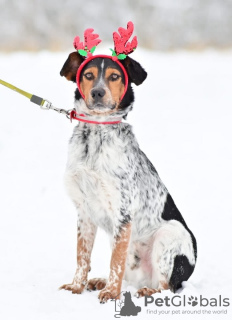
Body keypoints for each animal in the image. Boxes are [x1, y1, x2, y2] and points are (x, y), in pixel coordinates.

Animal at [59, 23, 197, 304]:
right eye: (88, 75)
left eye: (114, 76)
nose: (97, 92)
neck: (96, 135)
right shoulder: (84, 212)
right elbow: (82, 257)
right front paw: (77, 287)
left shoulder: (122, 213)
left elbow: (116, 261)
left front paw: (111, 293)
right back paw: (100, 281)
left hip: (169, 234)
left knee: (167, 286)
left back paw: (146, 291)